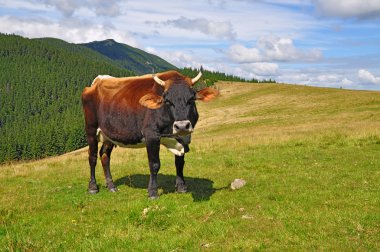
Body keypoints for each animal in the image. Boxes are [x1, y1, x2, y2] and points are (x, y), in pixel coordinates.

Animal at [81, 70, 218, 198]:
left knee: (104, 156)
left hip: (109, 134)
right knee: (92, 157)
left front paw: (181, 187)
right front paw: (152, 192)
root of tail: (98, 81)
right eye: (167, 101)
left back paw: (111, 186)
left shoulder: (183, 138)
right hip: (91, 129)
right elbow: (154, 164)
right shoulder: (151, 135)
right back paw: (92, 187)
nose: (182, 126)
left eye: (191, 99)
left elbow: (179, 163)